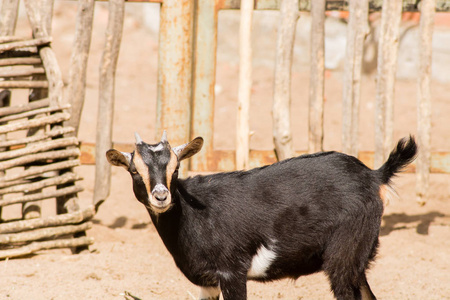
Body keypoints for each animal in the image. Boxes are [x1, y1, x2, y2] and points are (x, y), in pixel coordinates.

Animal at [107, 133, 416, 300]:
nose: (161, 196)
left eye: (176, 169)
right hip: (357, 260)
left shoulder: (232, 271)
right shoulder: (207, 281)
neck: (193, 214)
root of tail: (374, 175)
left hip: (343, 256)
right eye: (134, 171)